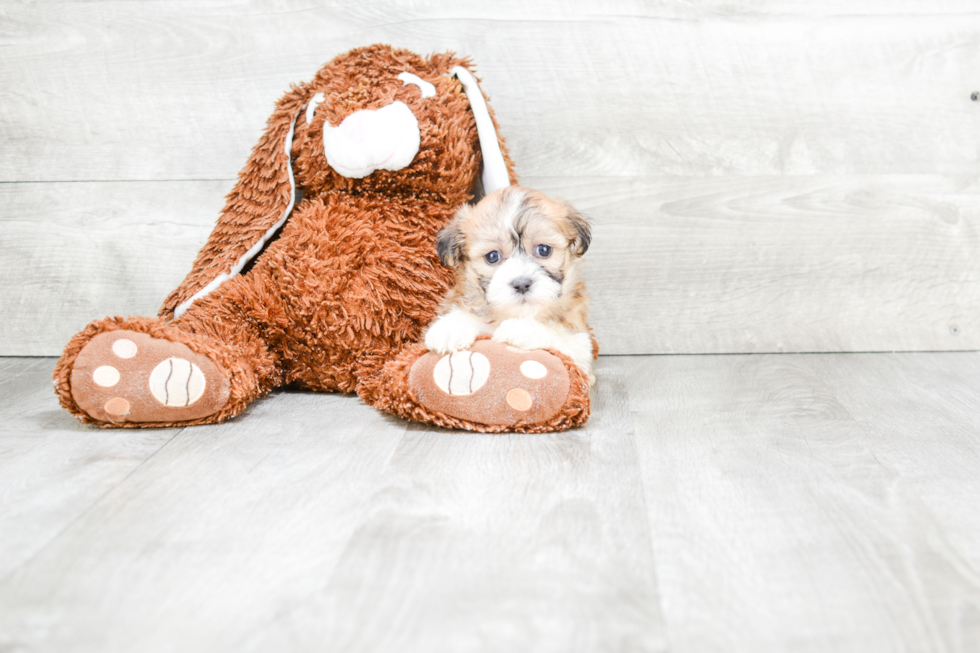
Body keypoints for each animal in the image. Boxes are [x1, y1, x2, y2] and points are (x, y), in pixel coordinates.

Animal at [424, 183, 592, 384]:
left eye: (544, 250)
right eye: (492, 256)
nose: (522, 284)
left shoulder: (581, 352)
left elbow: (558, 337)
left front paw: (520, 329)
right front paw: (450, 328)